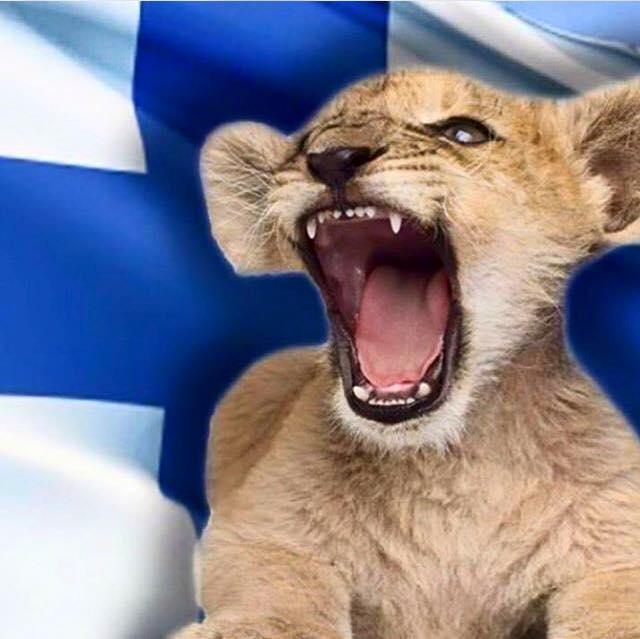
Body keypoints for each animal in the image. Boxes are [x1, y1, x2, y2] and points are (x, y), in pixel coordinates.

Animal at [172, 69, 640, 639]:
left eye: (463, 132)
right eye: (309, 141)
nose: (333, 157)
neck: (447, 464)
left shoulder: (617, 553)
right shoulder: (261, 530)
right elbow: (279, 594)